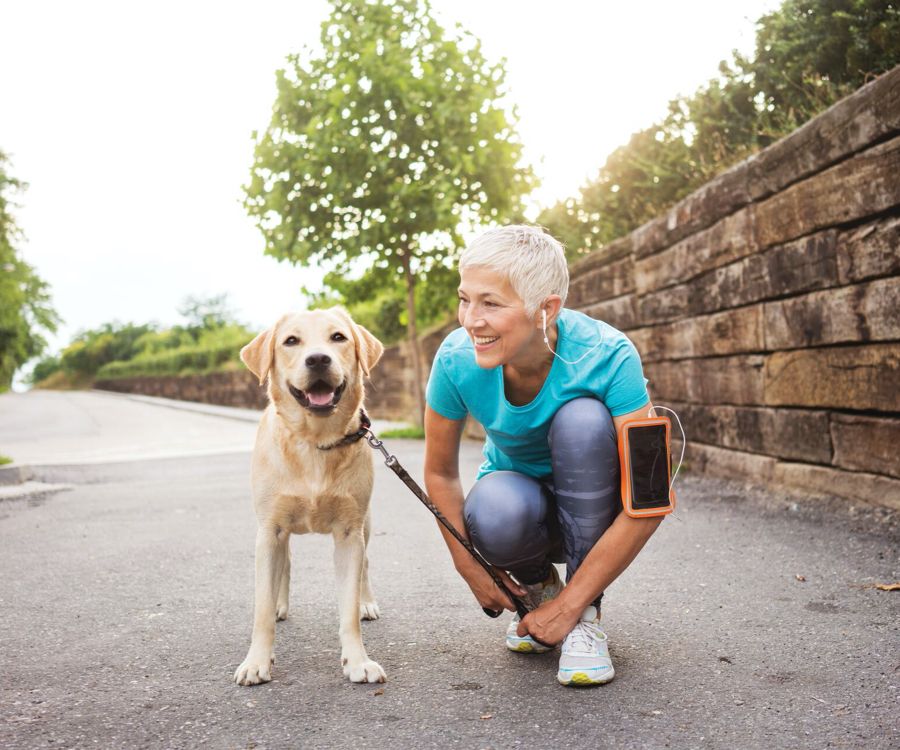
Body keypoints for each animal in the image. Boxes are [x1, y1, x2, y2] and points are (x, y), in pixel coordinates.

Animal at [234, 306, 384, 688]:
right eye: (291, 341)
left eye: (338, 337)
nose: (317, 359)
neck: (316, 442)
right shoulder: (269, 530)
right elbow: (261, 609)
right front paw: (257, 661)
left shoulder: (349, 532)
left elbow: (348, 608)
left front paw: (358, 661)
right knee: (285, 563)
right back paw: (279, 604)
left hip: (366, 523)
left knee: (366, 563)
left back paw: (367, 602)